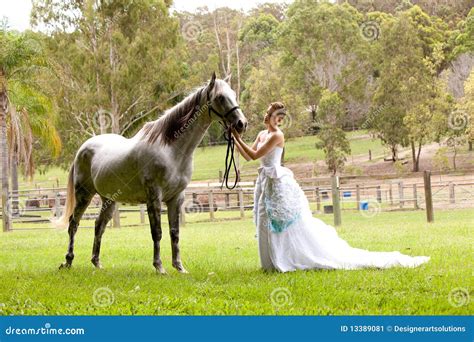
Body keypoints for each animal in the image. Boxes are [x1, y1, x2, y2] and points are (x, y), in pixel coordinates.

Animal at [54, 73, 248, 274]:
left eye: (234, 94)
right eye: (220, 97)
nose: (241, 124)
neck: (171, 149)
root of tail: (82, 149)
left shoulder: (176, 198)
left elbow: (174, 233)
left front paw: (179, 267)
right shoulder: (154, 197)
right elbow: (157, 232)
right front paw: (159, 267)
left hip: (108, 199)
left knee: (99, 226)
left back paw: (97, 263)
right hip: (84, 195)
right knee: (73, 224)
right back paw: (68, 261)